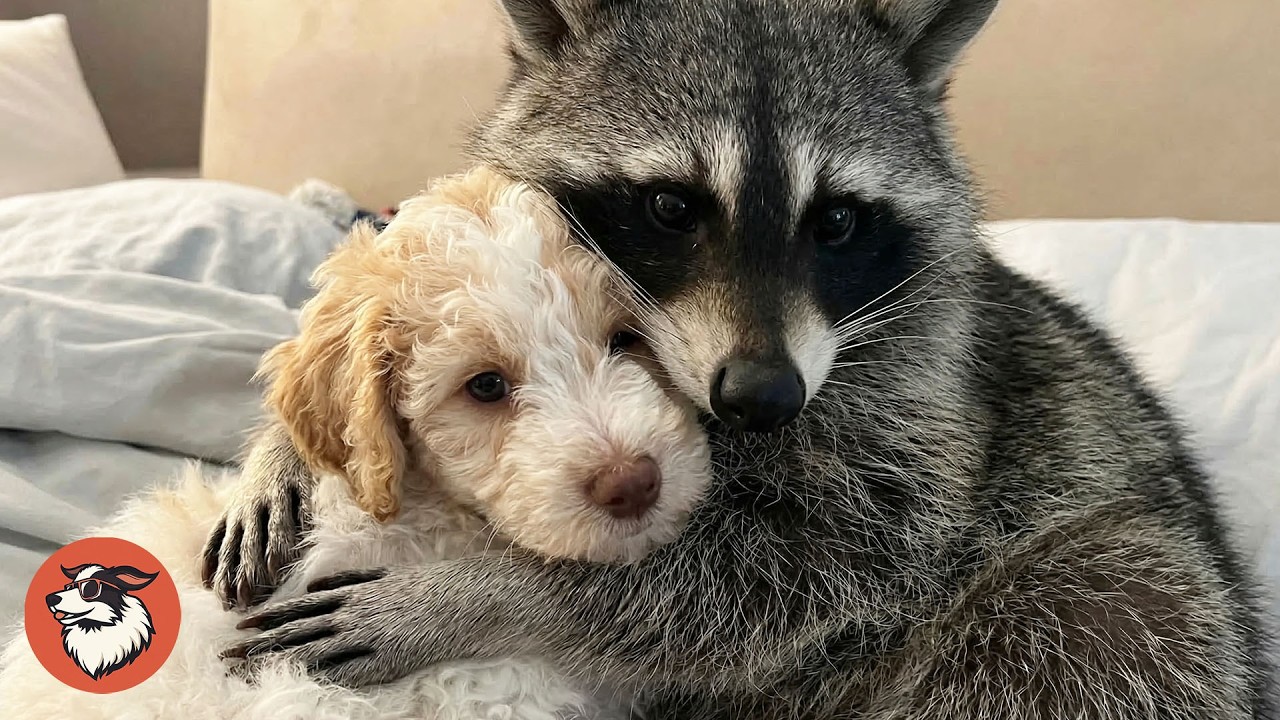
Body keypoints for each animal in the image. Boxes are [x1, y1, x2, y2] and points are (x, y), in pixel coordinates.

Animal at [210, 0, 1275, 717]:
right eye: (671, 207)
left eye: (838, 222)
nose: (764, 397)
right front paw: (281, 448)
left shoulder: (917, 411)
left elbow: (799, 568)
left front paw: (483, 596)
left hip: (1106, 601)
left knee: (1111, 597)